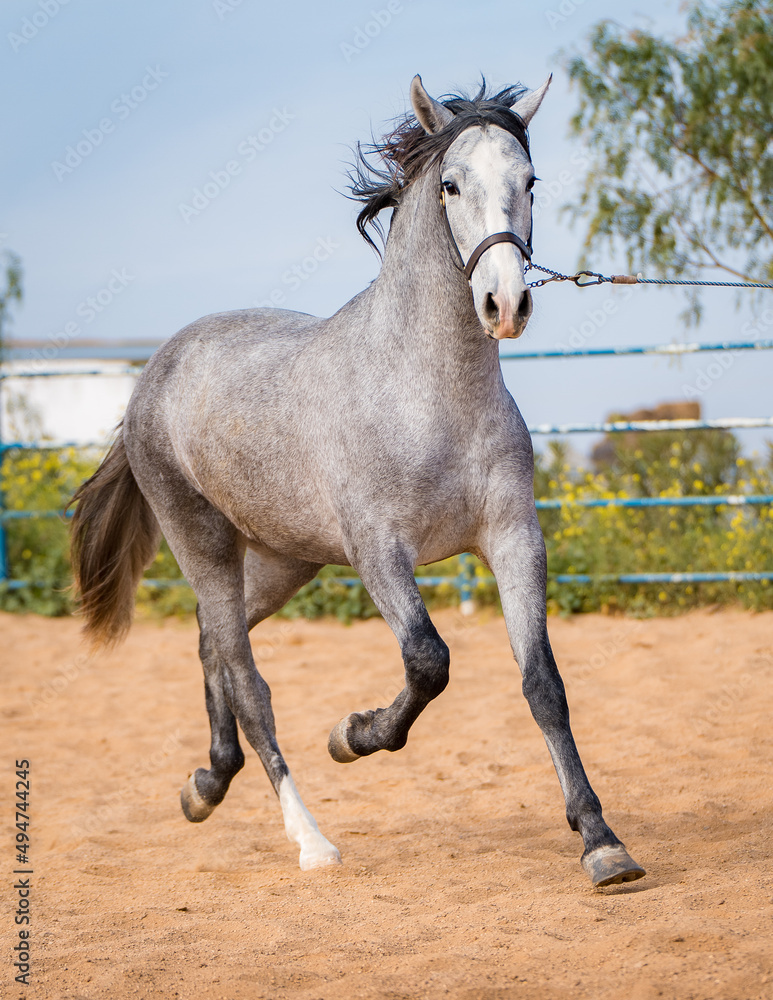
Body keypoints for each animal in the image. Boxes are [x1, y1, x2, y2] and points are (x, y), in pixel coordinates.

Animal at [69, 74, 645, 888]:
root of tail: (154, 375)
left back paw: (205, 784)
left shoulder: (513, 539)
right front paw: (353, 733)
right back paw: (310, 840)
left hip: (284, 559)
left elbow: (543, 684)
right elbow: (429, 662)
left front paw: (600, 841)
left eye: (530, 181)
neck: (429, 395)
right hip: (202, 542)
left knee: (213, 644)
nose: (505, 304)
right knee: (248, 681)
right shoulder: (379, 552)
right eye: (450, 183)